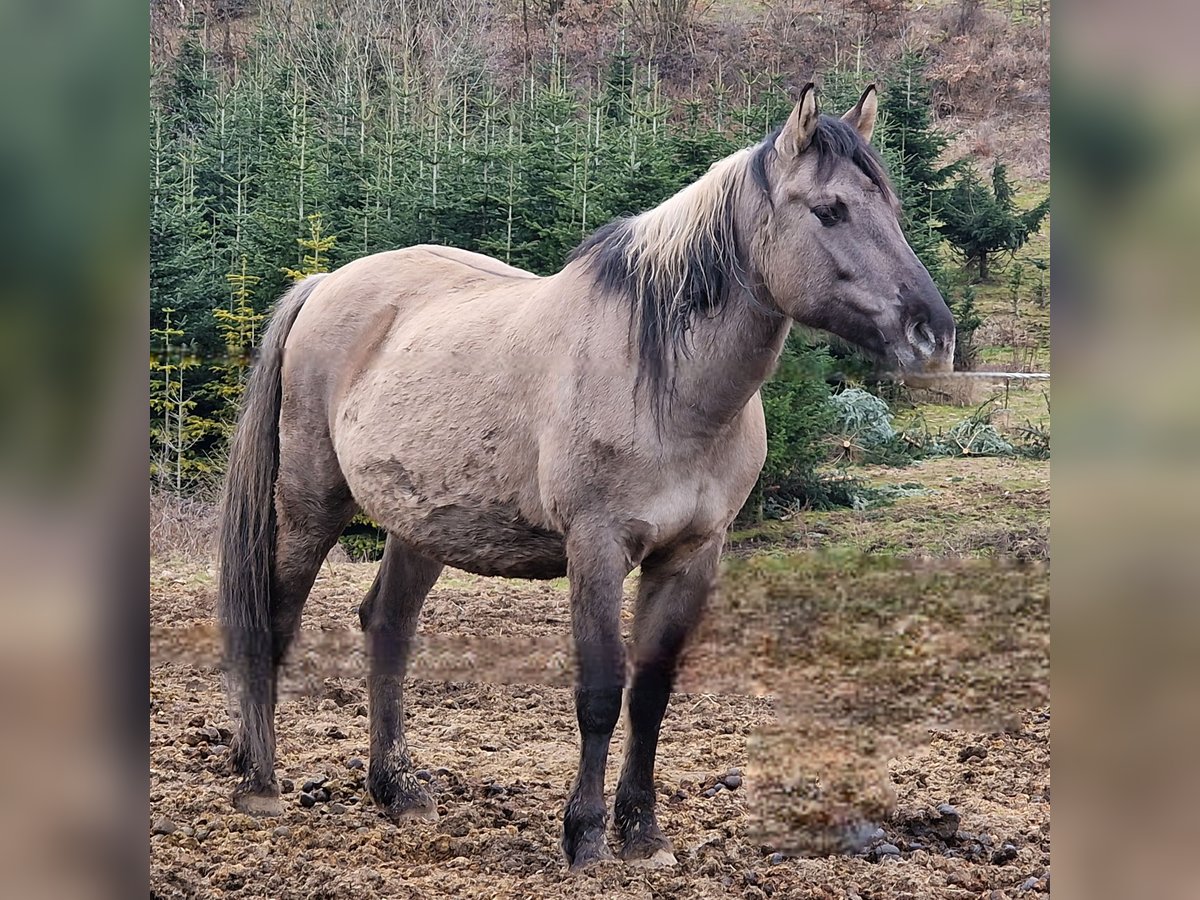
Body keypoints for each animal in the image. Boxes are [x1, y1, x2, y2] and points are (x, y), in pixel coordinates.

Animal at [220, 84, 955, 873]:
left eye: (892, 209)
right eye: (829, 209)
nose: (933, 335)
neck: (661, 379)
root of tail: (327, 283)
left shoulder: (692, 556)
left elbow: (652, 694)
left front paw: (644, 833)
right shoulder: (597, 547)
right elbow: (601, 691)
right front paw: (587, 833)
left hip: (421, 525)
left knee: (387, 626)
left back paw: (396, 790)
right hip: (309, 502)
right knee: (276, 620)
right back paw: (260, 783)